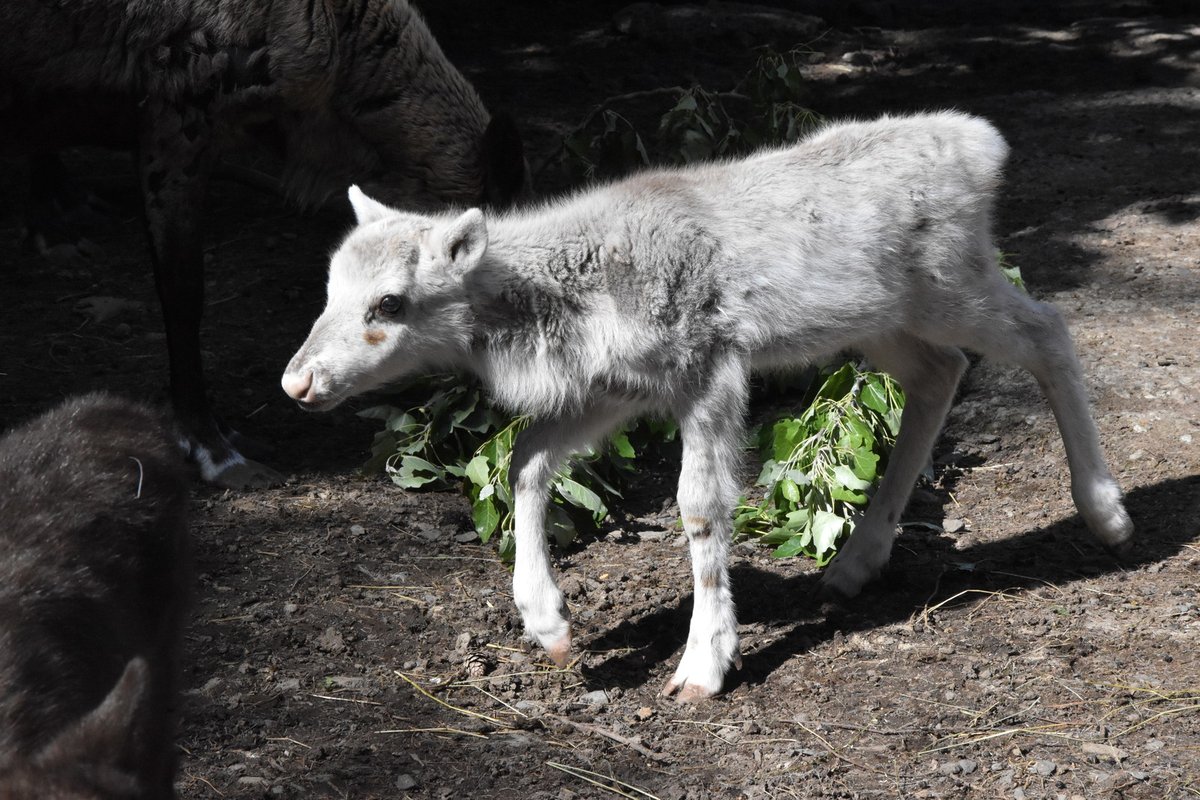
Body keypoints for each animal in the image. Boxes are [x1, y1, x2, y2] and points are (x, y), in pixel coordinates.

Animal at [283, 112, 1132, 700]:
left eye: (391, 301)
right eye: (327, 286)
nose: (298, 382)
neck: (558, 307)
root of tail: (983, 145)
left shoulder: (709, 367)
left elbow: (698, 505)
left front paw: (703, 668)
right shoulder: (620, 388)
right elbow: (525, 459)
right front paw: (550, 628)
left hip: (951, 284)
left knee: (1046, 329)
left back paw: (1108, 515)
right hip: (884, 321)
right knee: (940, 374)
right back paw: (855, 563)